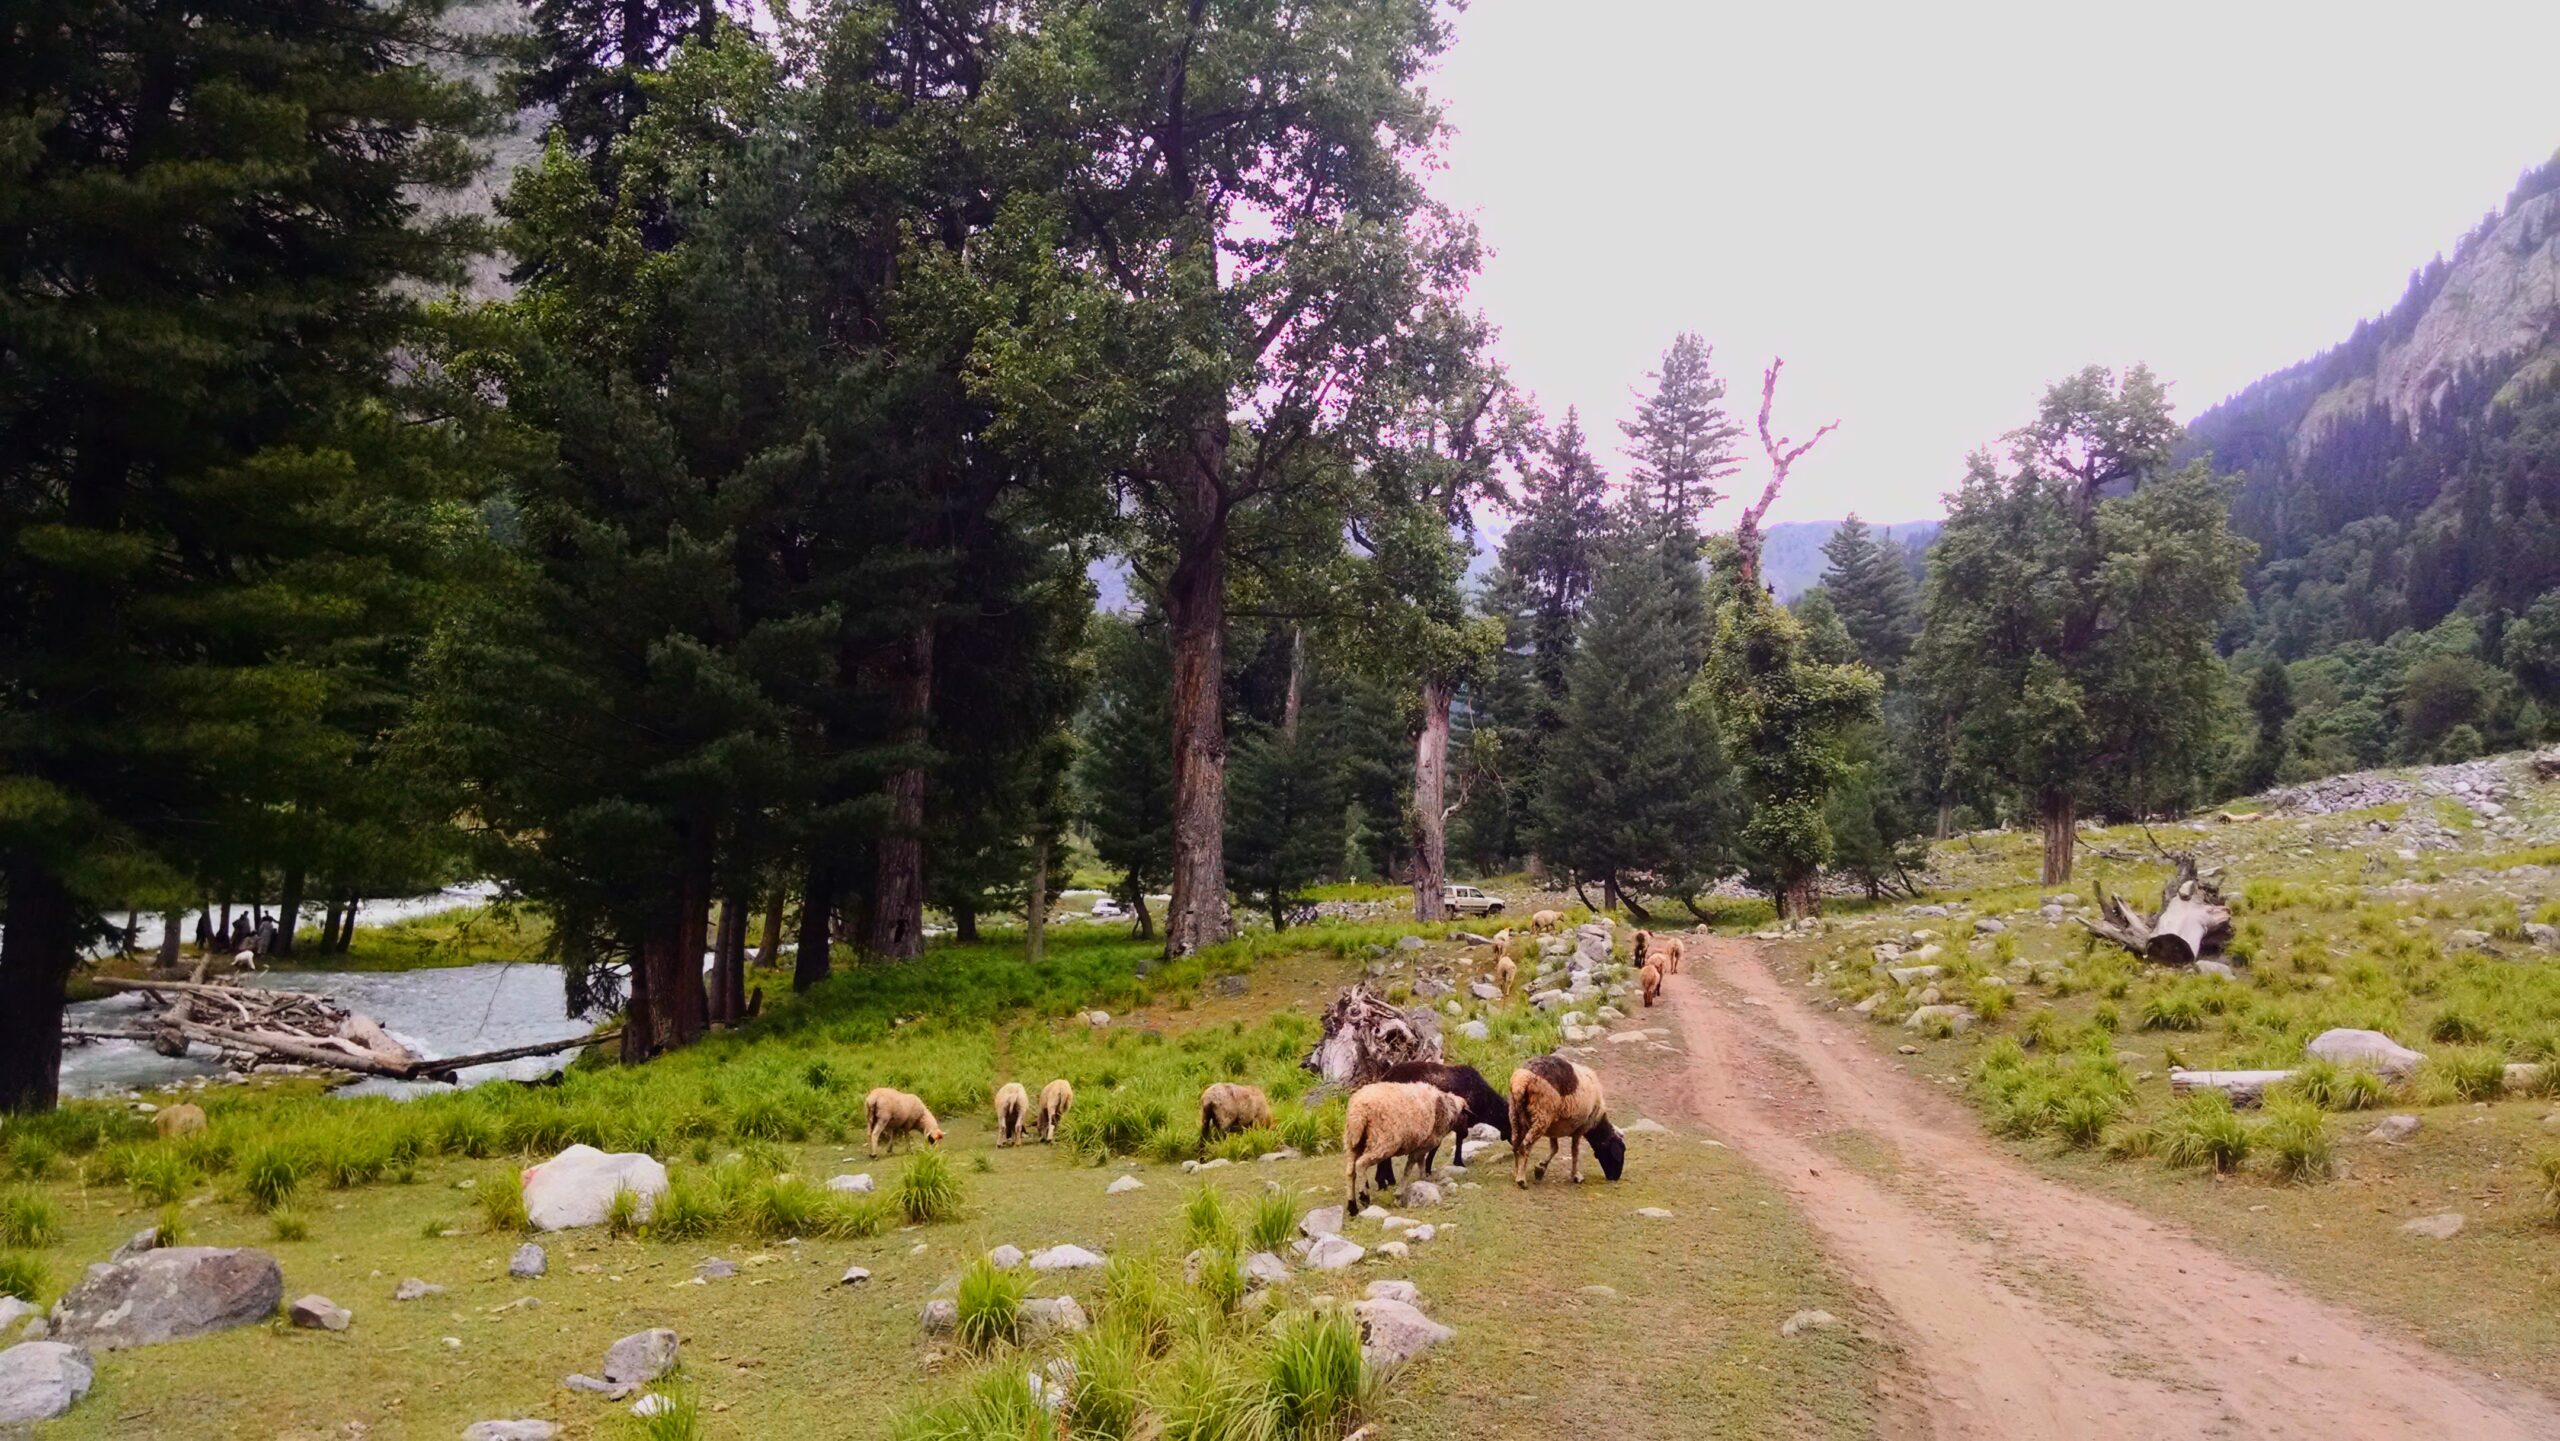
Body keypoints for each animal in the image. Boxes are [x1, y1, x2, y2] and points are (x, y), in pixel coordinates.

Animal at [1341, 1085, 1464, 1218]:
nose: (1465, 1133)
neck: (1447, 1106)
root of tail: (1358, 1111)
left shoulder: (1421, 1147)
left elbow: (1420, 1164)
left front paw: (1423, 1181)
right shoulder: (1423, 1145)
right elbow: (1409, 1167)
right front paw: (1400, 1193)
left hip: (1353, 1143)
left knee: (1350, 1172)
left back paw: (1352, 1206)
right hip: (1382, 1141)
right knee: (1360, 1164)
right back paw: (1364, 1197)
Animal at [1505, 1054, 1628, 1187]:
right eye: (1620, 1152)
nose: (1615, 1177)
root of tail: (1522, 1080)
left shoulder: (1553, 1128)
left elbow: (1555, 1149)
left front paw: (1540, 1169)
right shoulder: (1580, 1129)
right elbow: (1575, 1152)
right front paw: (1576, 1176)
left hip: (1515, 1114)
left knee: (1515, 1144)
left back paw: (1517, 1172)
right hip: (1542, 1116)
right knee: (1525, 1146)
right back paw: (1521, 1179)